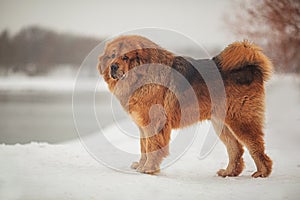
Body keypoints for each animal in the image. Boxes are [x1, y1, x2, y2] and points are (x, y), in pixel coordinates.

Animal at [97, 35, 274, 177]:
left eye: (125, 57)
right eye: (112, 56)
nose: (113, 66)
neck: (142, 76)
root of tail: (252, 68)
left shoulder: (154, 123)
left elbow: (152, 147)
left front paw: (148, 169)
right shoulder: (142, 124)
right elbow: (144, 147)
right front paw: (141, 165)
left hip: (241, 121)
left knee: (256, 147)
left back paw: (262, 172)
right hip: (221, 124)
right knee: (236, 149)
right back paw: (229, 172)